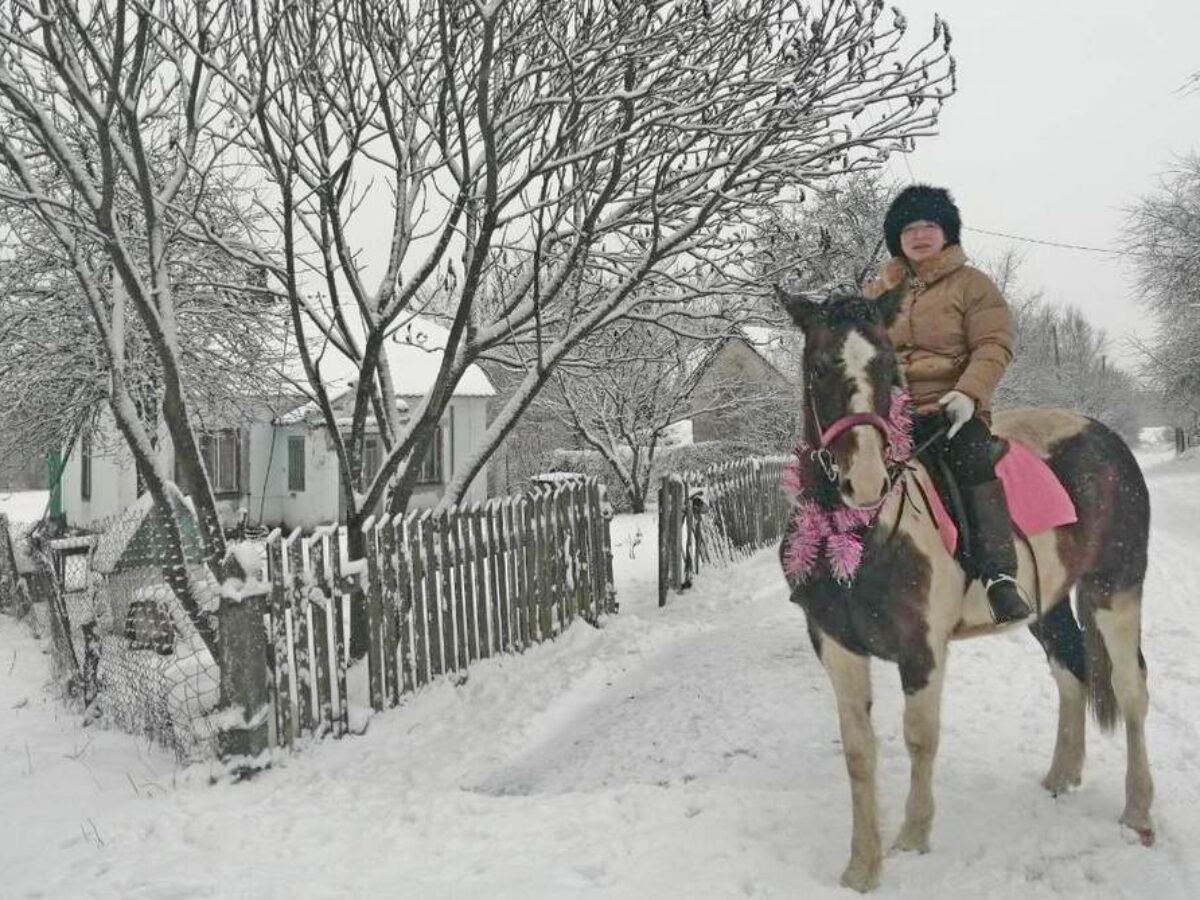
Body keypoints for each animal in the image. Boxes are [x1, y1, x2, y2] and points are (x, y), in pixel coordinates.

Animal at [777, 290, 1152, 897]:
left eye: (890, 368)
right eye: (817, 368)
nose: (866, 483)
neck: (862, 533)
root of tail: (1103, 435)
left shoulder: (922, 648)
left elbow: (919, 737)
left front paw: (911, 837)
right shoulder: (836, 646)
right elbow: (858, 751)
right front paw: (861, 866)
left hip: (1115, 588)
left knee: (1131, 690)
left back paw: (1138, 815)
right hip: (1047, 605)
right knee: (1070, 673)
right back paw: (1060, 776)